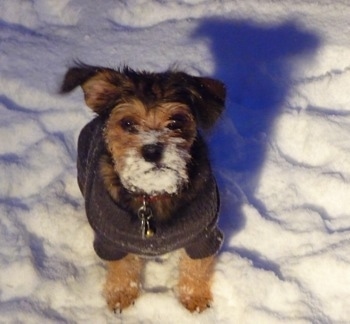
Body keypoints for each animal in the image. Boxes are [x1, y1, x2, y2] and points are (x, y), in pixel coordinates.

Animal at [60, 62, 226, 312]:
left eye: (176, 121)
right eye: (127, 123)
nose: (152, 151)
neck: (153, 193)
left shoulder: (204, 235)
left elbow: (195, 267)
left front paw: (194, 296)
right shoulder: (111, 242)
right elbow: (122, 268)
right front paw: (121, 294)